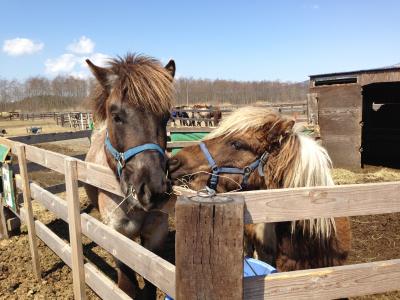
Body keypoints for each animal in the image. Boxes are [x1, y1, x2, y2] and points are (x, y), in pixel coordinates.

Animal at [84, 53, 175, 298]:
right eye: (116, 116)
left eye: (166, 117)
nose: (153, 190)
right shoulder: (119, 236)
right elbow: (127, 286)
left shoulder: (155, 235)